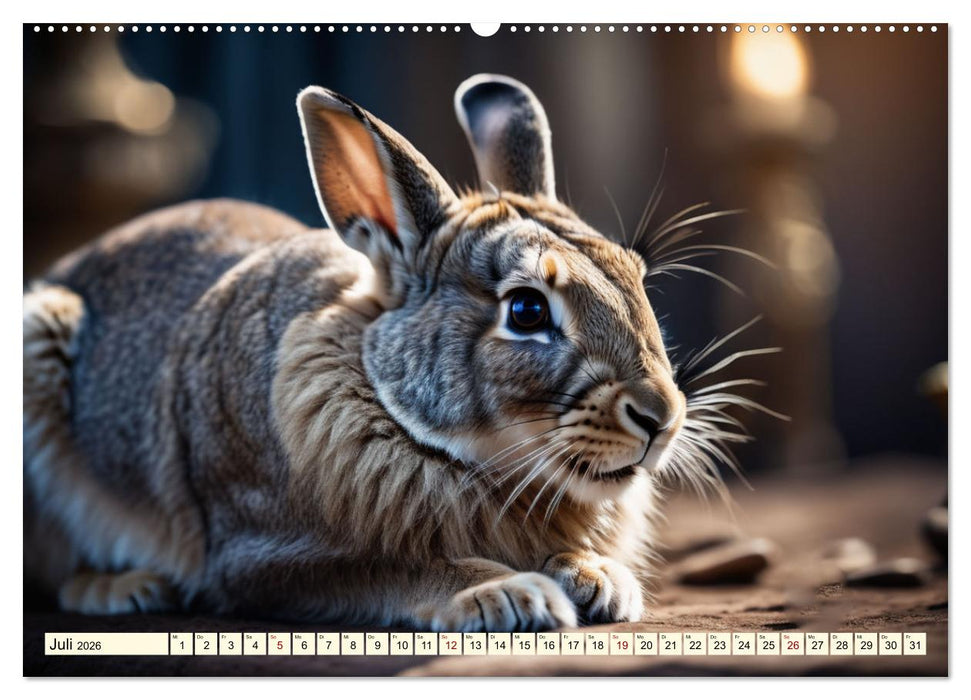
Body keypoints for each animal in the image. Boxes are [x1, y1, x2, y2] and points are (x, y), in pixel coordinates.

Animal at [23, 73, 745, 631]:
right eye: (526, 310)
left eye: (634, 276)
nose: (661, 417)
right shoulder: (269, 557)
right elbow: (404, 566)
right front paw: (512, 594)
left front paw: (597, 578)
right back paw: (122, 588)